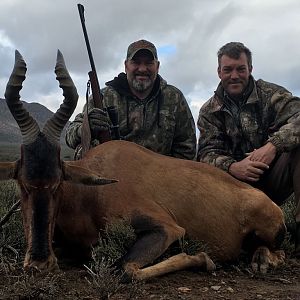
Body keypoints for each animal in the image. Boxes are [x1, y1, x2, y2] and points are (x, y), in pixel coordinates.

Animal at [0, 50, 286, 280]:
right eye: (21, 183)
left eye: (58, 182)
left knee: (278, 251)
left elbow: (126, 269)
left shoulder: (166, 229)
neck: (90, 193)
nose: (39, 264)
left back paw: (262, 261)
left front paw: (203, 259)